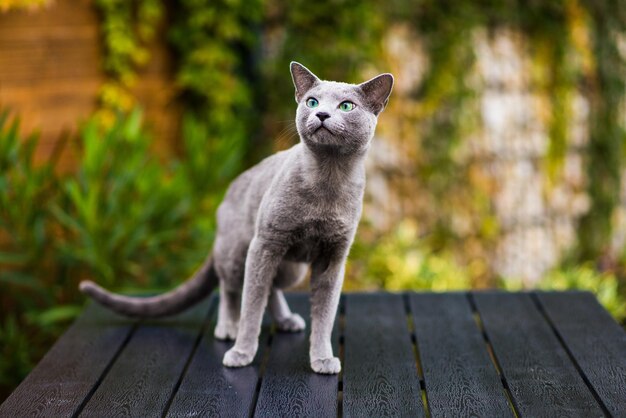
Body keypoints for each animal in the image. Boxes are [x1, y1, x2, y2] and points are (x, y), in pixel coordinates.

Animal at [78, 62, 390, 376]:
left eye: (346, 106)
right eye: (312, 102)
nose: (321, 114)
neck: (327, 179)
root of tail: (224, 201)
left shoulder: (332, 257)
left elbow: (324, 315)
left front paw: (323, 359)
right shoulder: (265, 243)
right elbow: (251, 304)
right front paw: (241, 352)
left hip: (291, 267)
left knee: (272, 286)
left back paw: (286, 320)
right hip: (238, 251)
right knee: (230, 287)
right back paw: (228, 327)